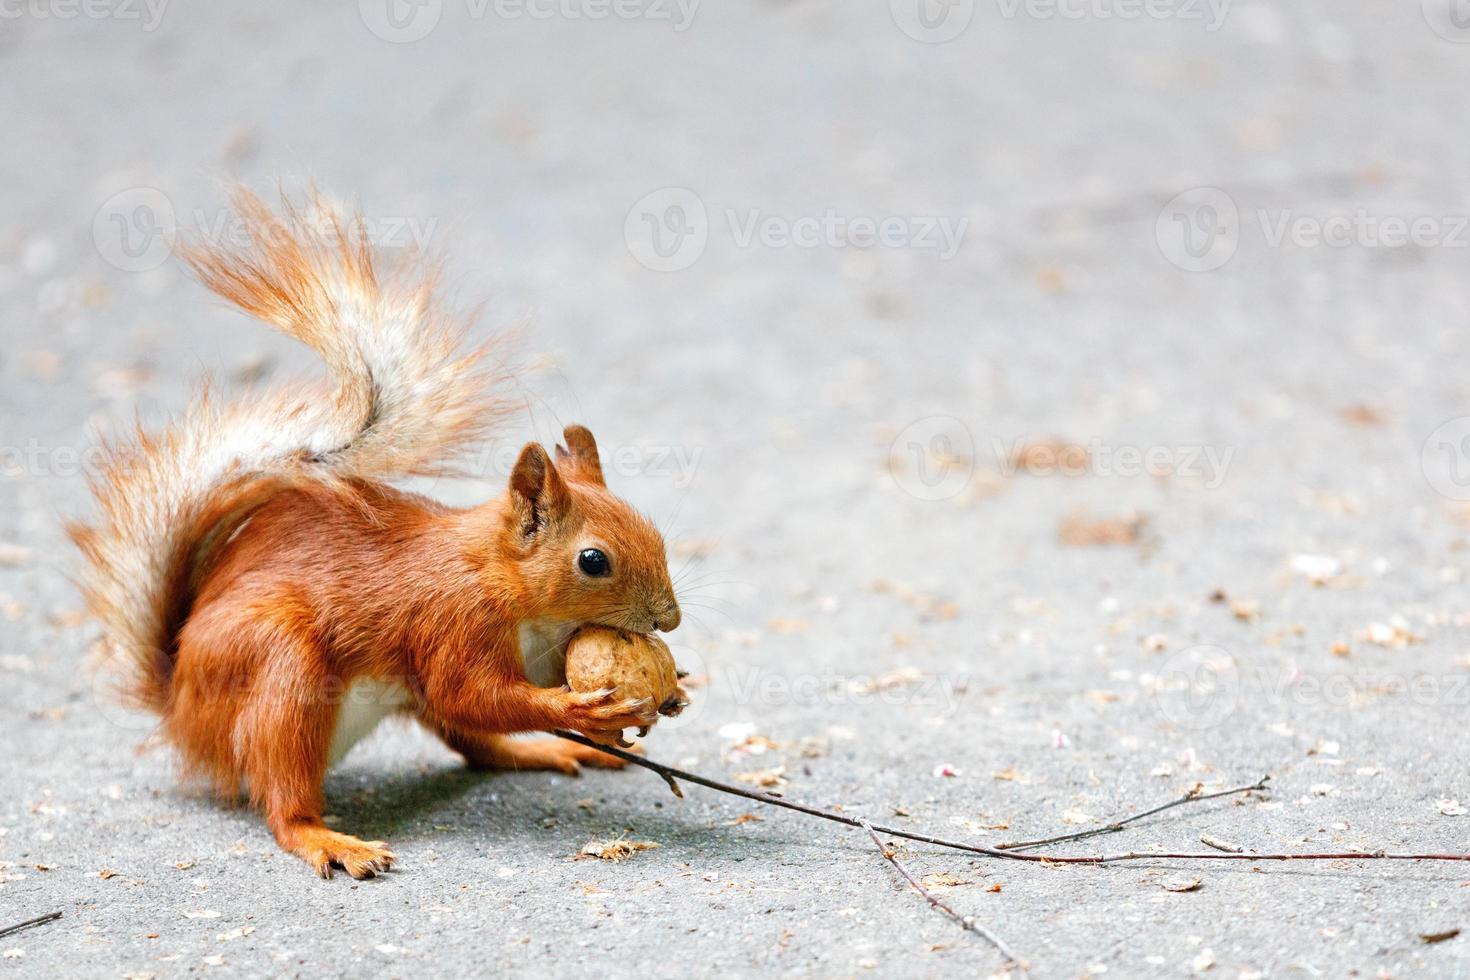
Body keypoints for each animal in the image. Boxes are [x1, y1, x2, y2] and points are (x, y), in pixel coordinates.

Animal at [69, 191, 682, 881]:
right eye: (593, 561)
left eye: (653, 531)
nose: (670, 618)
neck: (509, 585)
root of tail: (179, 709)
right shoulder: (454, 620)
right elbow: (473, 694)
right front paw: (582, 712)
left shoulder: (543, 647)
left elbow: (490, 704)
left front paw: (667, 695)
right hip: (282, 667)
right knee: (286, 792)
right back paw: (327, 839)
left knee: (472, 745)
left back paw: (544, 755)